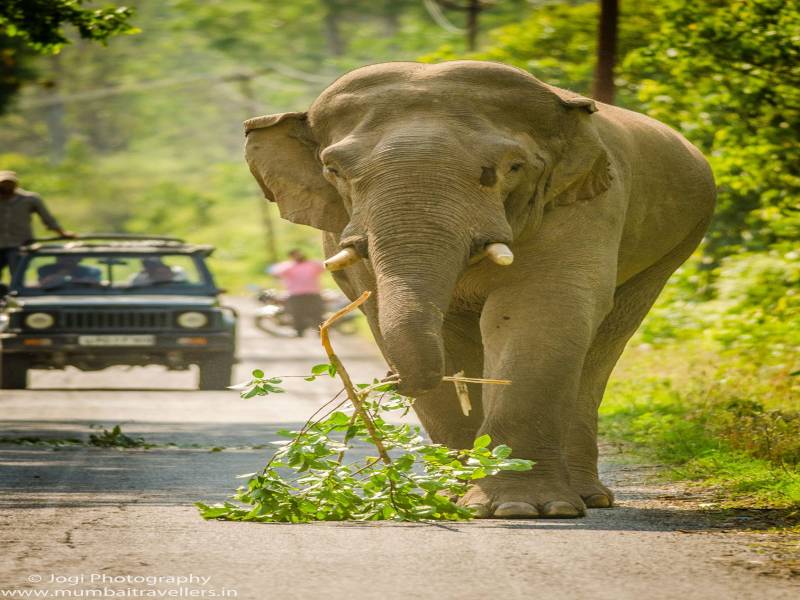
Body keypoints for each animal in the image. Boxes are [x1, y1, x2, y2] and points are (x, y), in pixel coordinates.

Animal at [242, 62, 712, 520]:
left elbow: (540, 311)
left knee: (603, 345)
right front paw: (452, 497)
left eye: (511, 168)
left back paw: (585, 498)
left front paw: (523, 509)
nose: (390, 382)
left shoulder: (585, 206)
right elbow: (429, 330)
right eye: (335, 171)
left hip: (674, 247)